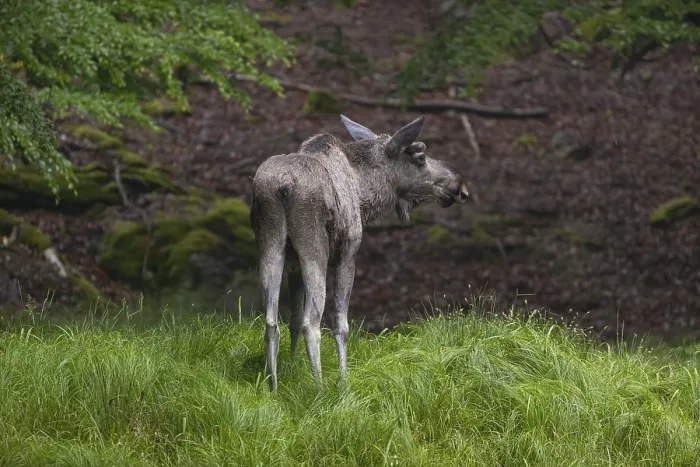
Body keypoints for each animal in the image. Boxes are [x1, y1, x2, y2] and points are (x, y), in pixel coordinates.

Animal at [250, 114, 470, 393]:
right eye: (420, 156)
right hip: (314, 249)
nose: (460, 184)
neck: (364, 191)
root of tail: (283, 186)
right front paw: (344, 383)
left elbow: (294, 319)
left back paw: (273, 387)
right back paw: (320, 389)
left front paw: (292, 368)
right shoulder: (347, 254)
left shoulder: (293, 266)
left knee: (271, 322)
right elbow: (340, 325)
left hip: (270, 245)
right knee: (313, 322)